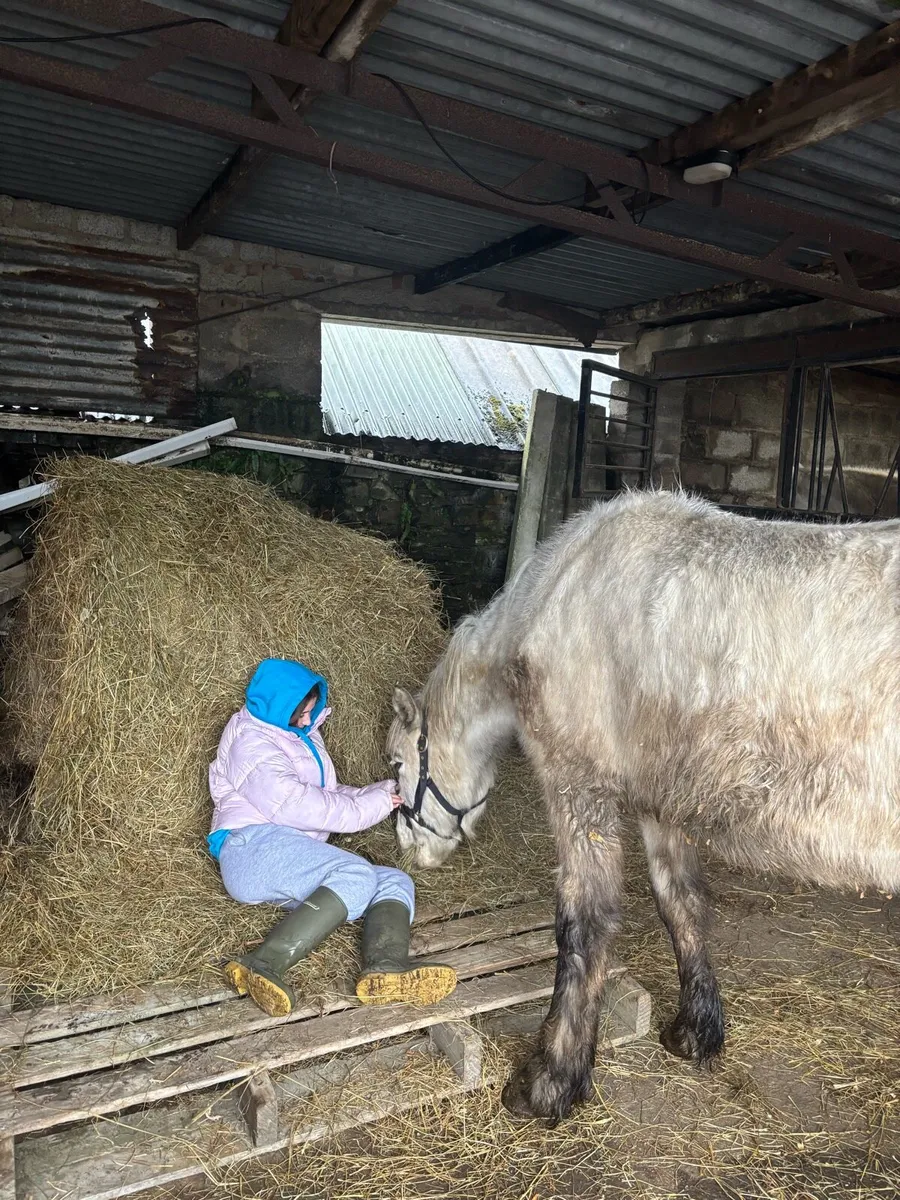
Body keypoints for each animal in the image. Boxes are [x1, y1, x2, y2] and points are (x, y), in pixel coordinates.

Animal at [387, 490, 900, 1122]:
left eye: (396, 764)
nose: (408, 846)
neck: (561, 592)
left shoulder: (579, 785)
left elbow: (584, 924)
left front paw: (549, 1082)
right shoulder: (663, 802)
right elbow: (681, 903)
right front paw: (695, 1032)